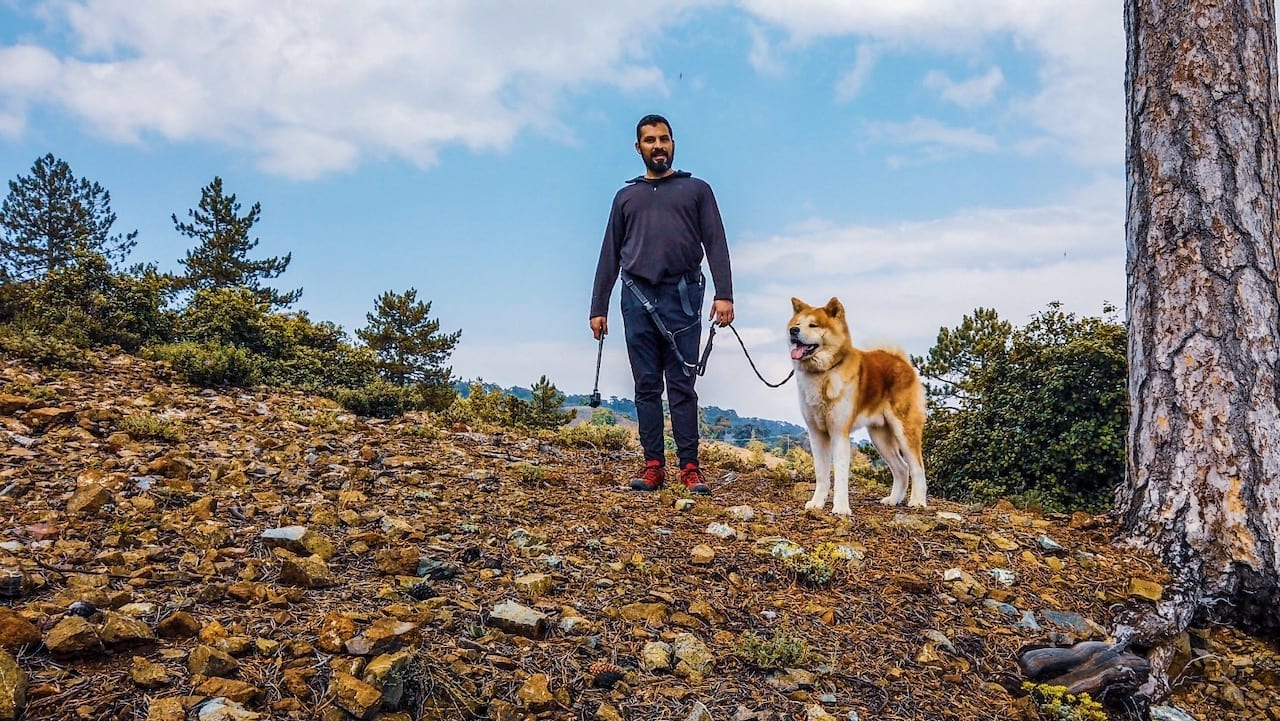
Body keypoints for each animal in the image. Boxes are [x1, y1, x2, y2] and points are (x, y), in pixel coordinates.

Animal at [783, 294, 926, 512]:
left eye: (813, 325)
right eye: (797, 324)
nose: (793, 331)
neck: (822, 374)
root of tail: (902, 362)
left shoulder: (839, 432)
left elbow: (841, 474)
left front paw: (841, 508)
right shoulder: (817, 434)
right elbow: (822, 474)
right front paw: (817, 503)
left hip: (904, 430)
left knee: (917, 467)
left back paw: (918, 501)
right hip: (880, 437)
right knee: (902, 469)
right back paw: (893, 500)